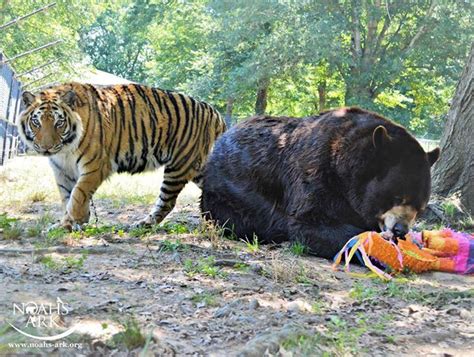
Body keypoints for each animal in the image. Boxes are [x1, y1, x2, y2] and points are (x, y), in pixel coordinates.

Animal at [18, 82, 226, 229]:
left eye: (59, 123)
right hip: (196, 167)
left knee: (167, 202)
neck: (65, 149)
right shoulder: (62, 170)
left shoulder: (95, 166)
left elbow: (78, 195)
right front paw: (69, 224)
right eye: (36, 122)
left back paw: (145, 224)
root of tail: (216, 113)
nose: (46, 148)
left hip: (179, 166)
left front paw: (73, 222)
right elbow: (67, 197)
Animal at [200, 107, 440, 258]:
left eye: (420, 207)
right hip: (227, 193)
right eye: (397, 196)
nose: (400, 229)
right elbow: (309, 223)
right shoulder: (316, 173)